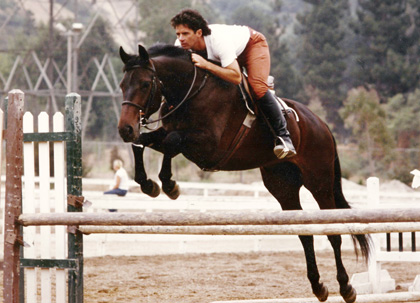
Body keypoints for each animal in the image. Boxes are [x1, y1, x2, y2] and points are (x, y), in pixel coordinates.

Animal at [116, 43, 370, 303]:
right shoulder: (173, 135)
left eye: (145, 84)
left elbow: (172, 141)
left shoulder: (208, 146)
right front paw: (151, 185)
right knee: (303, 233)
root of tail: (322, 124)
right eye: (123, 85)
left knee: (334, 232)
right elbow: (143, 143)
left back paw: (346, 287)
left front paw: (168, 185)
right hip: (283, 186)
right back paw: (318, 286)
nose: (125, 129)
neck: (190, 91)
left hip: (320, 182)